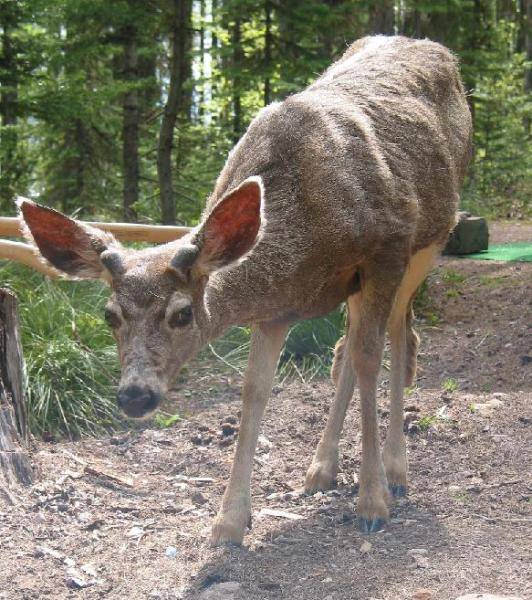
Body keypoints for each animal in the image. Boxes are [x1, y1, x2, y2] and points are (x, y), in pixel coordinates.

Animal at [17, 35, 470, 548]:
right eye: (110, 316)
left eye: (181, 313)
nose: (134, 395)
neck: (305, 234)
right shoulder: (275, 311)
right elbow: (255, 390)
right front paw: (229, 520)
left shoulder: (387, 249)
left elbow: (372, 359)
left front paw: (372, 501)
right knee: (348, 348)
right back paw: (322, 468)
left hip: (432, 239)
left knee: (398, 334)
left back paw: (395, 471)